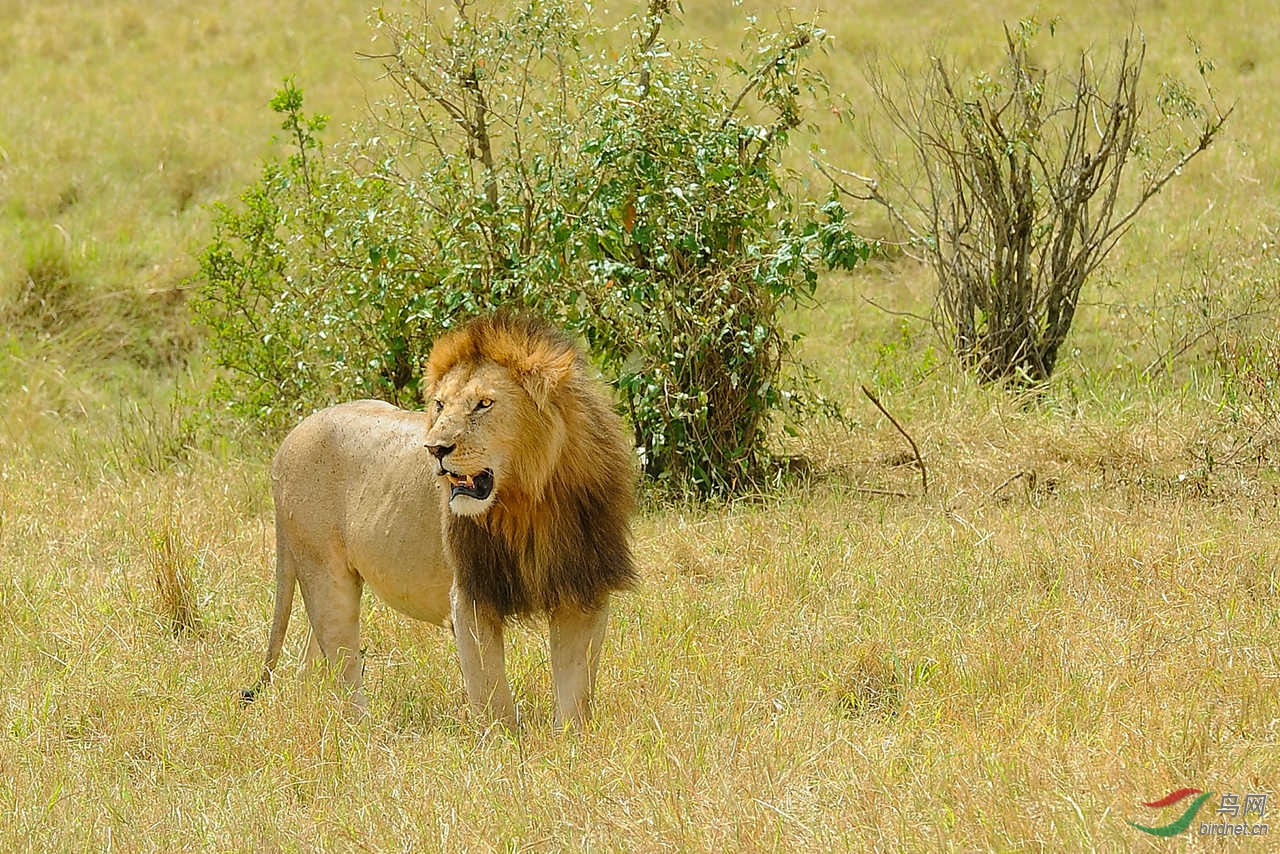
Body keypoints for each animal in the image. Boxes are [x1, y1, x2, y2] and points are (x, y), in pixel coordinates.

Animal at [239, 313, 634, 727]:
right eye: (440, 405)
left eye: (483, 404)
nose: (434, 449)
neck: (530, 502)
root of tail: (287, 442)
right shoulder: (471, 595)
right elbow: (491, 693)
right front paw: (505, 742)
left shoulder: (583, 589)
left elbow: (576, 691)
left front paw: (567, 740)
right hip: (322, 570)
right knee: (341, 661)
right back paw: (364, 731)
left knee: (311, 659)